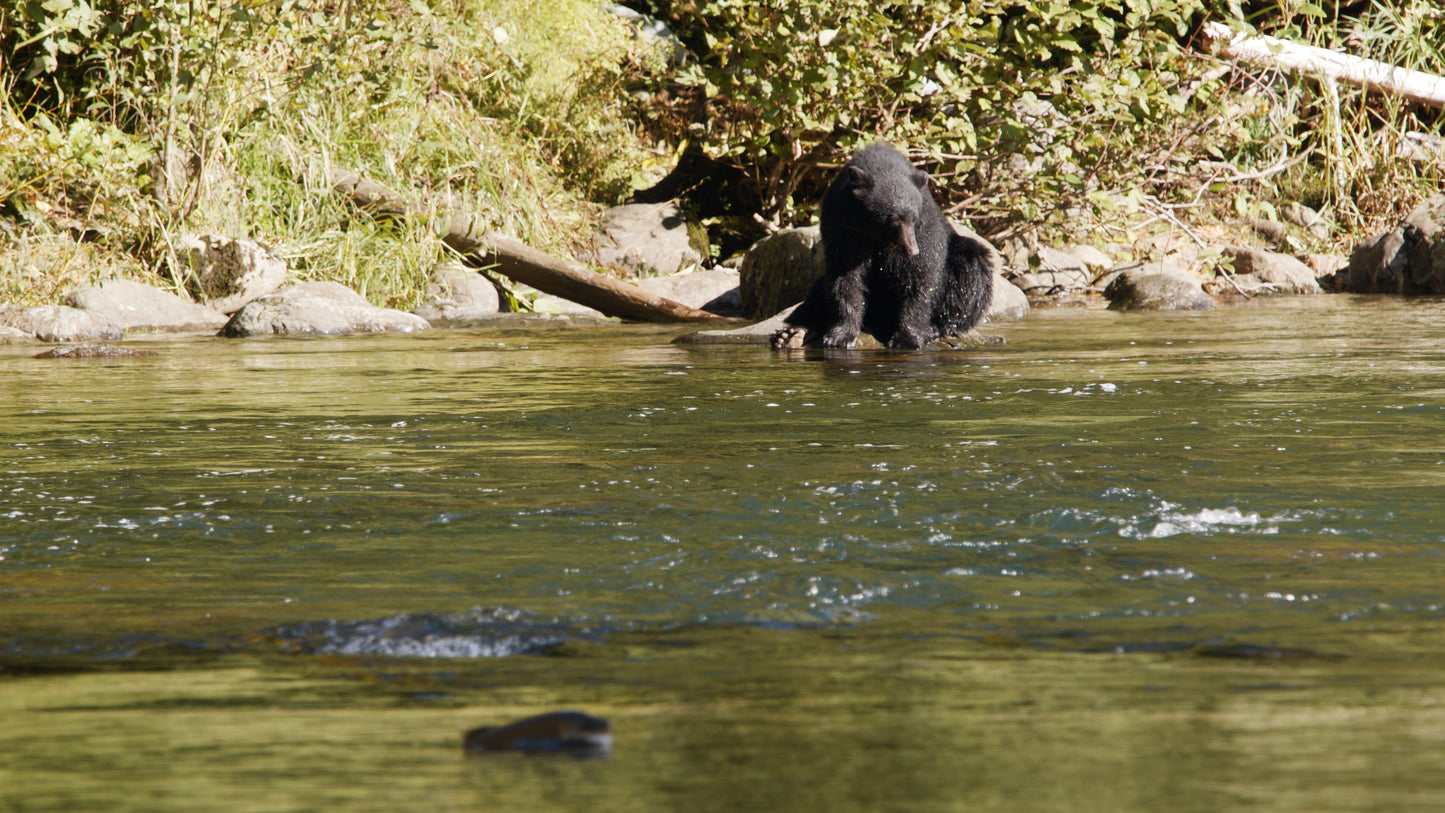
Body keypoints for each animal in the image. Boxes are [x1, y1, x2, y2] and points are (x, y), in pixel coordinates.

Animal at [780, 140, 994, 349]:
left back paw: (934, 328)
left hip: (962, 259)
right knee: (816, 292)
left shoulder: (925, 229)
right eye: (894, 219)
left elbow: (921, 275)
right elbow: (845, 277)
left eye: (914, 218)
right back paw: (791, 333)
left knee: (971, 271)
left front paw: (907, 338)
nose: (912, 250)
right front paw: (841, 335)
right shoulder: (842, 227)